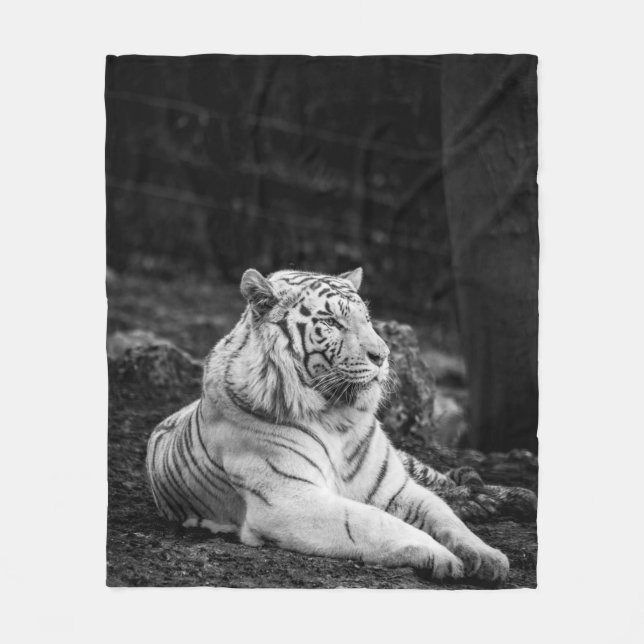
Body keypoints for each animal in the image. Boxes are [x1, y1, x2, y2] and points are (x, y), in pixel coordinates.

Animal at [146, 267, 510, 582]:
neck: (338, 417)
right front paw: (443, 557)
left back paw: (489, 499)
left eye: (367, 320)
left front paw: (488, 556)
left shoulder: (395, 487)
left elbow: (443, 514)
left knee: (449, 483)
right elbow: (373, 521)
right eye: (331, 322)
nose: (383, 355)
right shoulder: (289, 500)